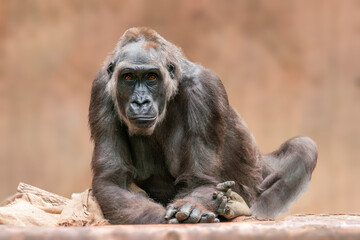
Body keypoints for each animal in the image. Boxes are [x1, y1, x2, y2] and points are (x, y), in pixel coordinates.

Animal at [89, 27, 318, 224]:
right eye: (128, 77)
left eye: (151, 77)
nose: (140, 102)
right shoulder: (100, 89)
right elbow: (114, 180)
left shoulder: (206, 90)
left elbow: (200, 179)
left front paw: (192, 209)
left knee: (302, 147)